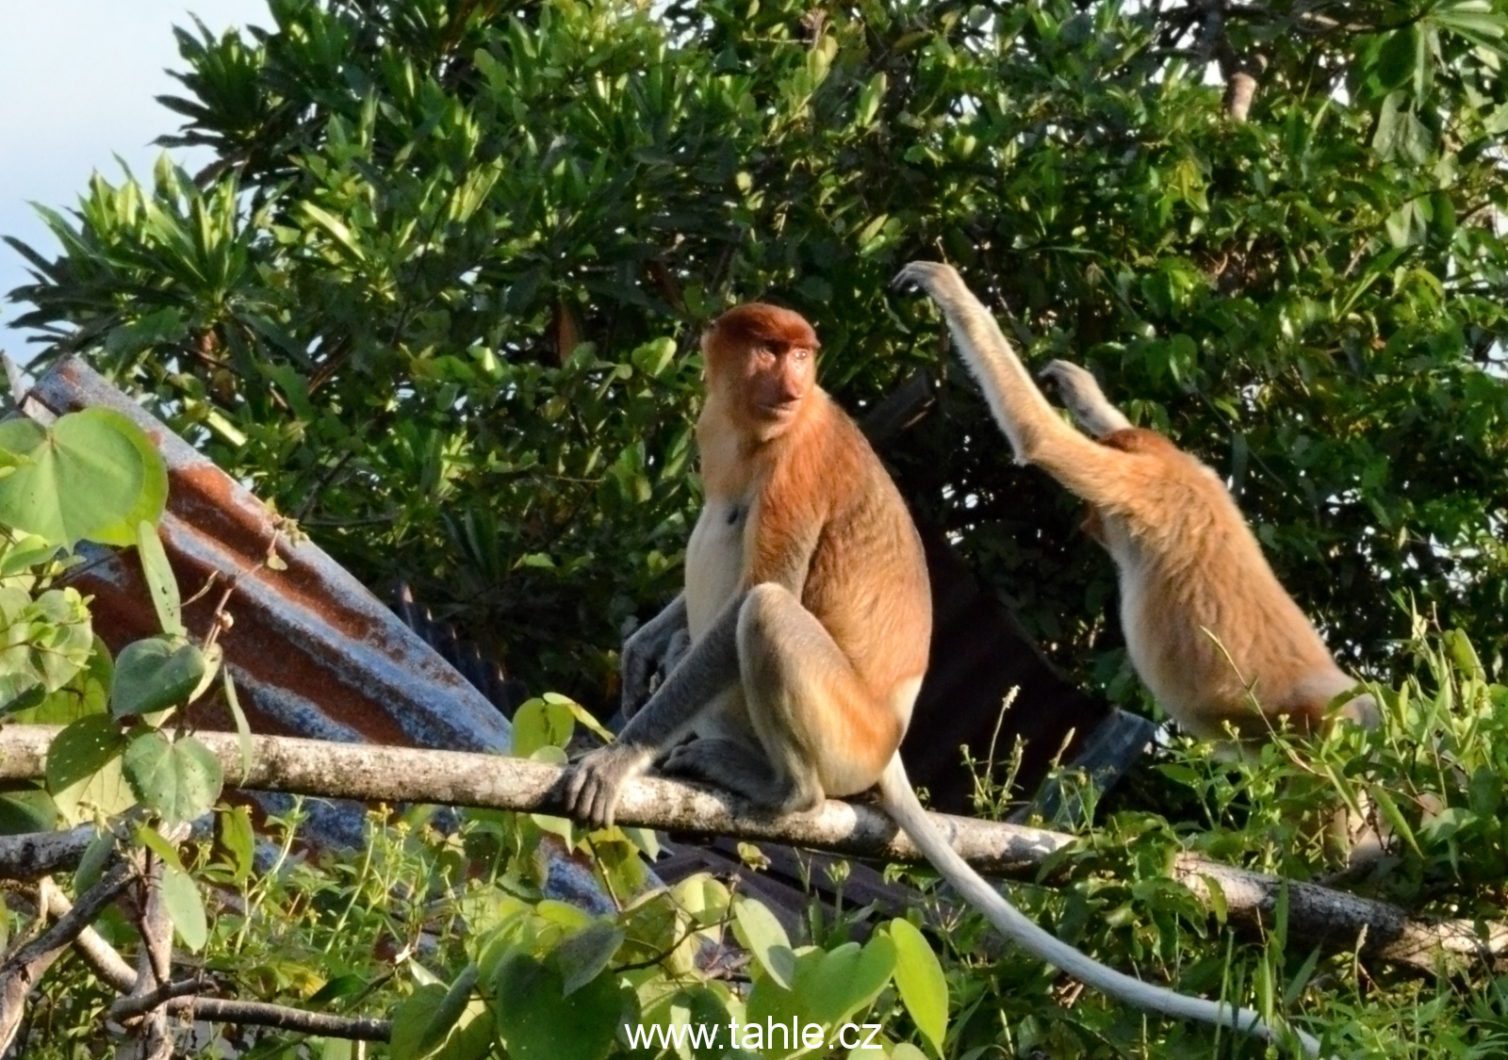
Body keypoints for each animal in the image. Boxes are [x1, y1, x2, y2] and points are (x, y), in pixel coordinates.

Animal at [560, 298, 1314, 1055]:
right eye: (771, 351)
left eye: (801, 354)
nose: (793, 380)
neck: (754, 429)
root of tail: (890, 739)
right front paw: (642, 648)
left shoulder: (799, 458)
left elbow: (761, 586)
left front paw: (616, 759)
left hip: (843, 730)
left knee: (764, 609)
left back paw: (780, 789)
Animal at [892, 262, 1381, 747]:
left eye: (1095, 517)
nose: (1088, 523)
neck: (1176, 473)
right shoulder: (1188, 468)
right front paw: (1080, 390)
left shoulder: (1141, 488)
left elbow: (1041, 438)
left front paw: (948, 289)